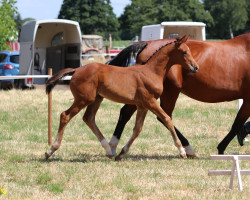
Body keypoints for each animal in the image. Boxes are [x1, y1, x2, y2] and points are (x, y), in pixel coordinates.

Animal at [44, 36, 198, 161]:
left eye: (189, 50)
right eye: (184, 52)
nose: (195, 67)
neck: (151, 72)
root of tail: (76, 70)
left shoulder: (142, 105)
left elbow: (137, 129)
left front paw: (122, 153)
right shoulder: (150, 101)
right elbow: (167, 119)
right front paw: (182, 151)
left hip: (96, 99)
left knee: (89, 118)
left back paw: (108, 150)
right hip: (83, 99)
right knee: (65, 115)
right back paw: (50, 150)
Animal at [108, 33, 250, 157]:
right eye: (184, 52)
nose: (196, 67)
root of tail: (147, 43)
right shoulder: (247, 100)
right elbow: (237, 124)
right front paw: (221, 149)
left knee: (128, 113)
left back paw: (114, 147)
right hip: (167, 92)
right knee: (163, 117)